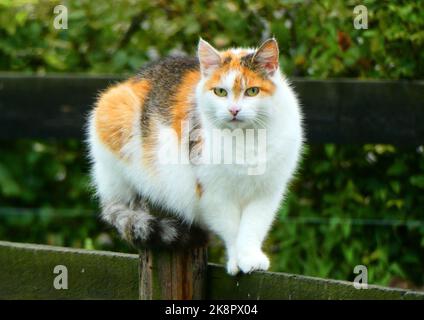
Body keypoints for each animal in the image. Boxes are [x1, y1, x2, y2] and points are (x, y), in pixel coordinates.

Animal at [88, 38, 304, 276]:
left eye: (252, 91)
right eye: (220, 92)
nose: (234, 110)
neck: (245, 139)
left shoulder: (267, 192)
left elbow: (253, 226)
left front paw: (250, 259)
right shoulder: (213, 193)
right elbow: (230, 228)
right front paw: (235, 260)